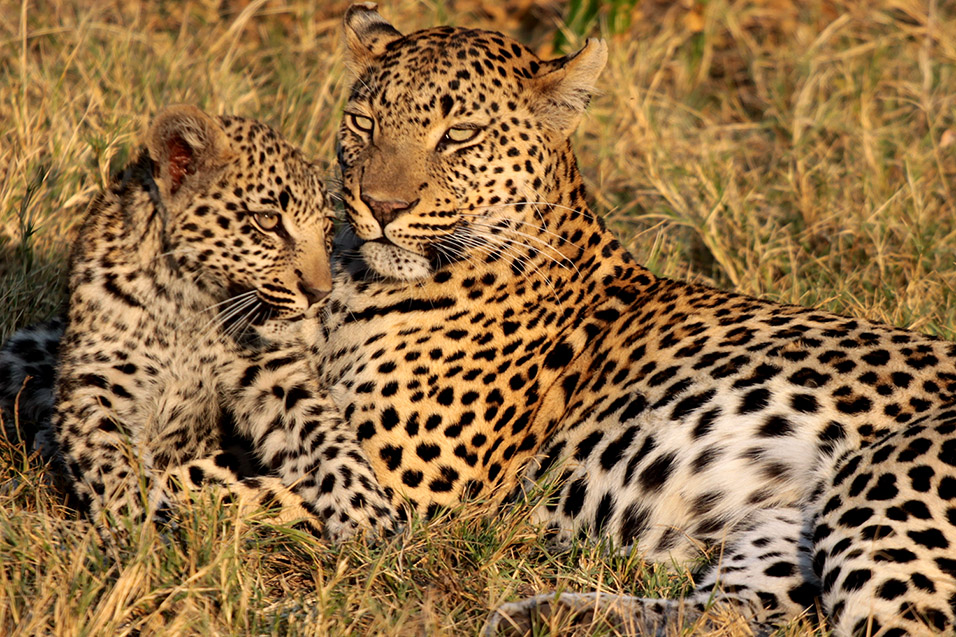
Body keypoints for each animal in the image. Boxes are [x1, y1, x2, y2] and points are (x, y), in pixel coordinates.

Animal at [318, 6, 952, 636]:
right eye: (363, 123)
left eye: (458, 135)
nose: (381, 206)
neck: (358, 279)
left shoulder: (404, 489)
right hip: (779, 532)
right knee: (720, 618)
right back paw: (547, 615)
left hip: (877, 497)